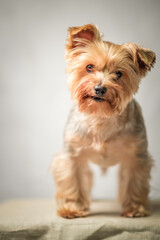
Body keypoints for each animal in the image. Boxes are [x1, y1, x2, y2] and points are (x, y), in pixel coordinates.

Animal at [52, 24, 155, 219]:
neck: (100, 116)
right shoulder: (72, 155)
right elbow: (73, 182)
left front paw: (134, 209)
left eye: (119, 73)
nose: (100, 88)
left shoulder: (136, 156)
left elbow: (134, 182)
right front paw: (72, 208)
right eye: (89, 67)